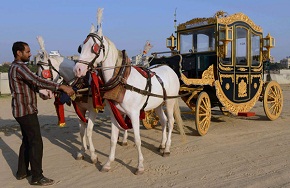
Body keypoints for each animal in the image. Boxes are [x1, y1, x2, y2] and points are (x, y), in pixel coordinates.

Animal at [35, 36, 128, 164]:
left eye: (44, 72)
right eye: (36, 72)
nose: (42, 94)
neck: (81, 82)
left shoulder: (93, 109)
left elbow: (88, 131)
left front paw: (93, 155)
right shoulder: (79, 109)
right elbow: (82, 131)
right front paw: (82, 151)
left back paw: (124, 139)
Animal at [73, 8, 180, 174]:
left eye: (94, 48)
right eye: (80, 47)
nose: (78, 69)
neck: (122, 80)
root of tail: (168, 67)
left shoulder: (134, 114)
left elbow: (137, 139)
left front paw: (140, 165)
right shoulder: (114, 114)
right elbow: (112, 139)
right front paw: (108, 163)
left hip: (169, 102)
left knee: (170, 122)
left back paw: (167, 148)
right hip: (157, 104)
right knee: (163, 121)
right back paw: (162, 145)